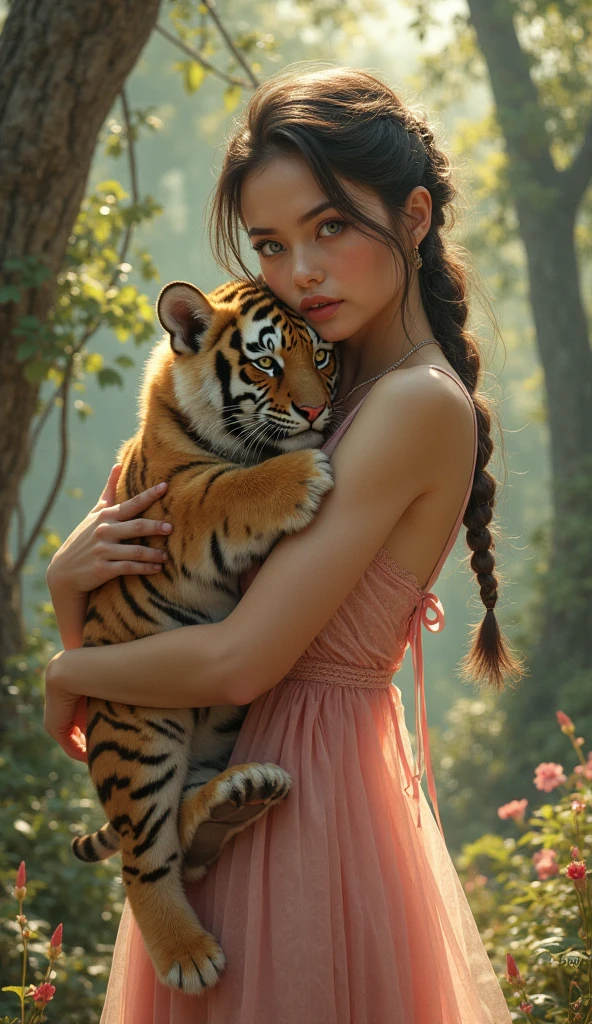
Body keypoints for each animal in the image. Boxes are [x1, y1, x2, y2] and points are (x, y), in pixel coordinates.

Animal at [71, 277, 339, 996]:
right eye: (265, 362)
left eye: (322, 357)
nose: (316, 412)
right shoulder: (172, 507)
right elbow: (227, 489)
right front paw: (303, 476)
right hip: (140, 731)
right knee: (145, 857)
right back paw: (188, 956)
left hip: (218, 721)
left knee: (184, 841)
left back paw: (240, 795)